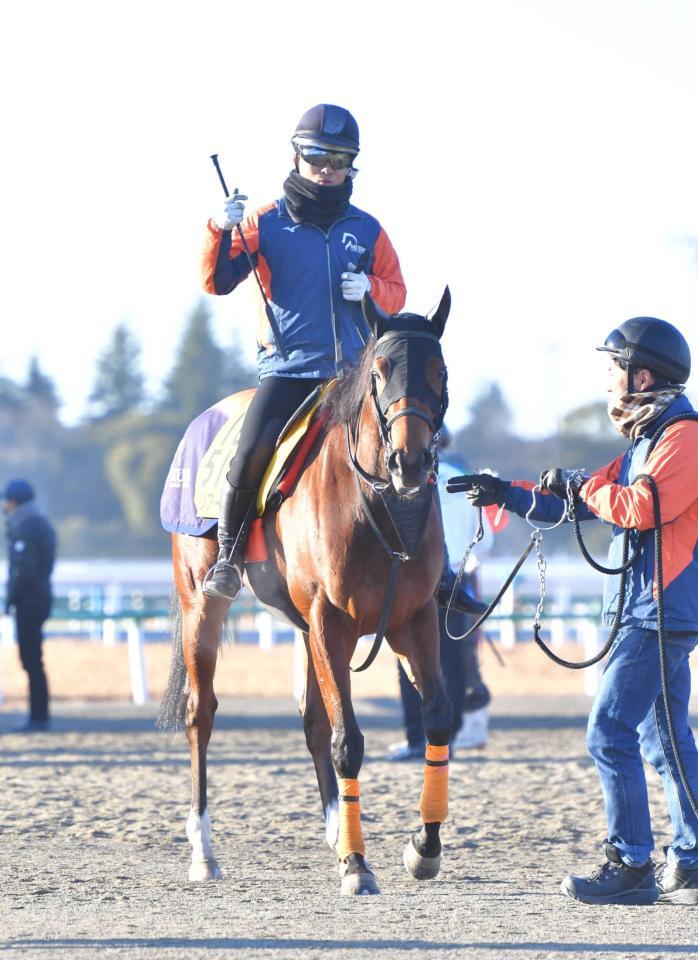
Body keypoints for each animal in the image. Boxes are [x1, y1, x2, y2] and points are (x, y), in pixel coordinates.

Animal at [162, 288, 456, 896]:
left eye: (439, 370)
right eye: (380, 369)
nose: (410, 461)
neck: (379, 506)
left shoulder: (412, 620)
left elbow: (437, 719)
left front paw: (423, 847)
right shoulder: (331, 621)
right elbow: (349, 741)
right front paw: (358, 866)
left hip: (304, 628)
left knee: (312, 719)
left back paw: (336, 832)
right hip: (203, 606)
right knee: (201, 713)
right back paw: (203, 851)